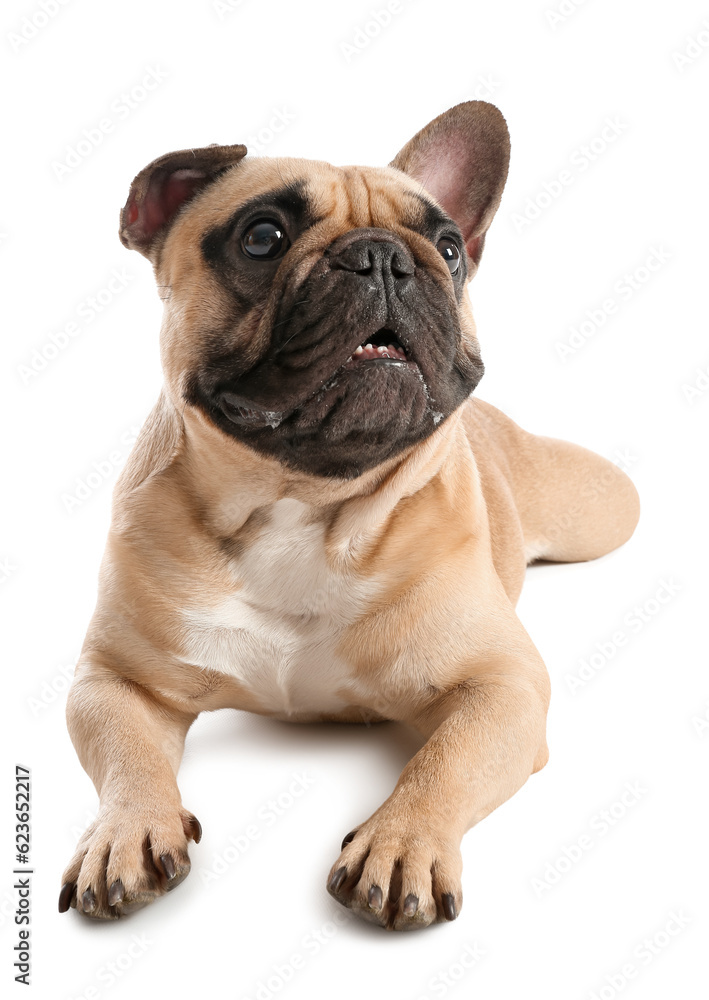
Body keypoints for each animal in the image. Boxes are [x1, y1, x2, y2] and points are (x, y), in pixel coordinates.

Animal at [58, 101, 640, 928]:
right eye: (261, 236)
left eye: (449, 248)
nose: (384, 259)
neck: (304, 500)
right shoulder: (113, 681)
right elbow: (126, 757)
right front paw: (125, 831)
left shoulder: (501, 685)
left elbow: (440, 762)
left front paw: (400, 845)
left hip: (601, 510)